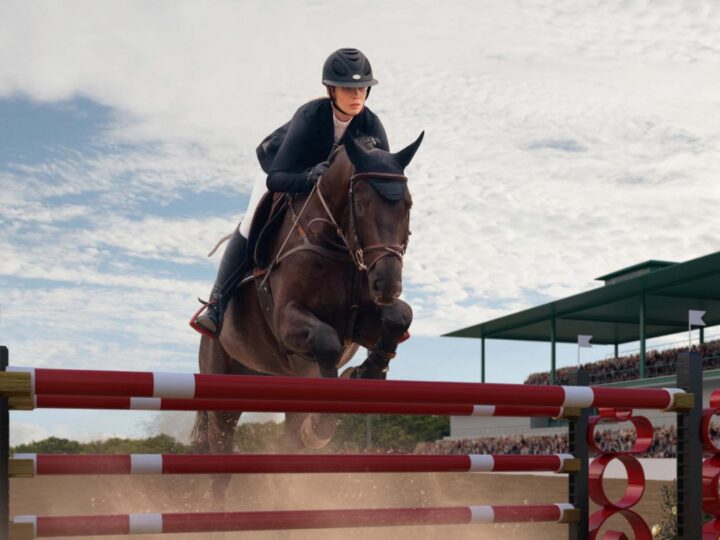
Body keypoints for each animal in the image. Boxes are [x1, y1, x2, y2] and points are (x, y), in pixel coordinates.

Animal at [194, 131, 424, 502]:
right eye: (360, 205)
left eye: (408, 205)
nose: (388, 284)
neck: (338, 244)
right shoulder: (289, 322)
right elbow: (325, 340)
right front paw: (322, 423)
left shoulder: (363, 323)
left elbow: (399, 318)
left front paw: (366, 373)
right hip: (223, 389)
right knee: (220, 461)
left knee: (288, 440)